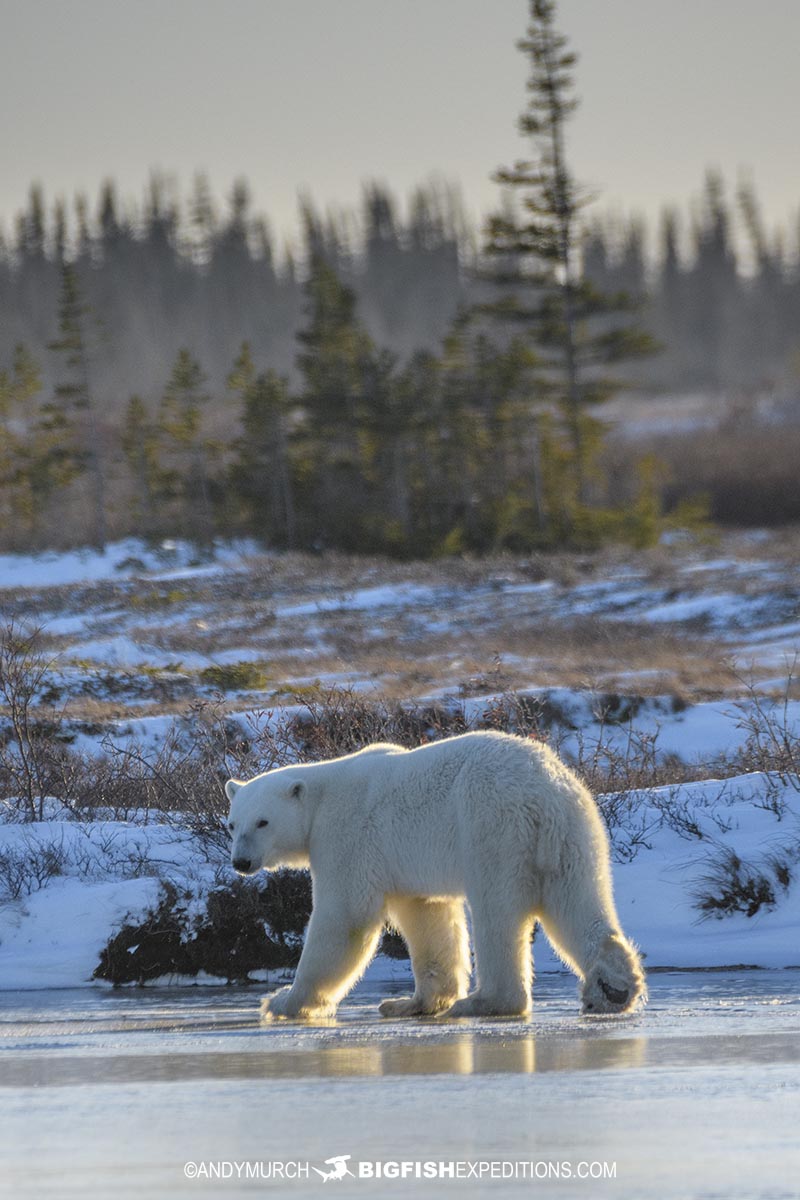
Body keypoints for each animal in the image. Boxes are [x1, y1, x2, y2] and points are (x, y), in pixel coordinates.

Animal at [224, 729, 642, 1022]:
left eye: (262, 822)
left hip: (491, 825)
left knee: (497, 912)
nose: (241, 862)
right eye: (232, 824)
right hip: (575, 832)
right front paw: (411, 1002)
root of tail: (543, 788)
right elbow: (427, 916)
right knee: (577, 901)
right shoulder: (405, 863)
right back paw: (612, 989)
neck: (320, 797)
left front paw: (283, 1000)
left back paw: (486, 1002)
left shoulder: (346, 837)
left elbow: (345, 917)